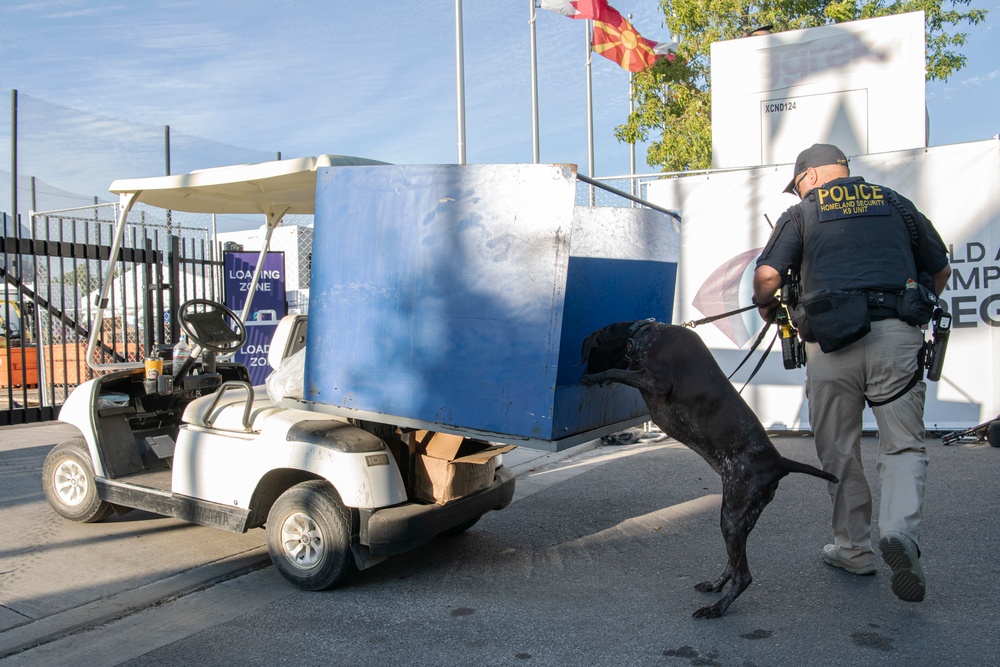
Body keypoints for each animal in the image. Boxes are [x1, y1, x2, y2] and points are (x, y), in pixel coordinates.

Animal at [580, 320, 836, 620]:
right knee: (733, 566)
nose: (580, 374)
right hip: (740, 519)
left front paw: (597, 376)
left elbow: (618, 371)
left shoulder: (656, 381)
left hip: (733, 515)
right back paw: (715, 585)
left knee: (743, 576)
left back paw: (717, 609)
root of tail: (780, 462)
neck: (644, 334)